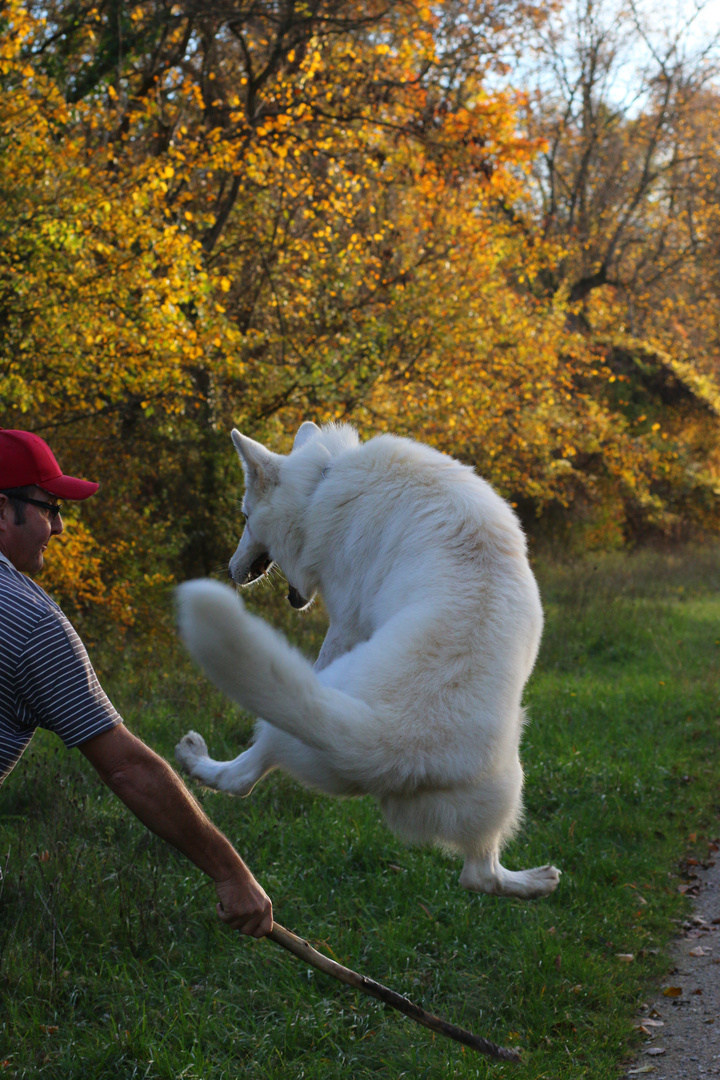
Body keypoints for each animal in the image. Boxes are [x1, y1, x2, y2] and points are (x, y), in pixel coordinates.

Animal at [177, 416, 561, 898]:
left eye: (245, 517)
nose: (229, 570)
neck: (322, 479)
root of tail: (387, 739)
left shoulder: (345, 621)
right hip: (507, 785)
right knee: (480, 875)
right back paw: (534, 883)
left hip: (286, 726)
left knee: (241, 778)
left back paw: (194, 758)